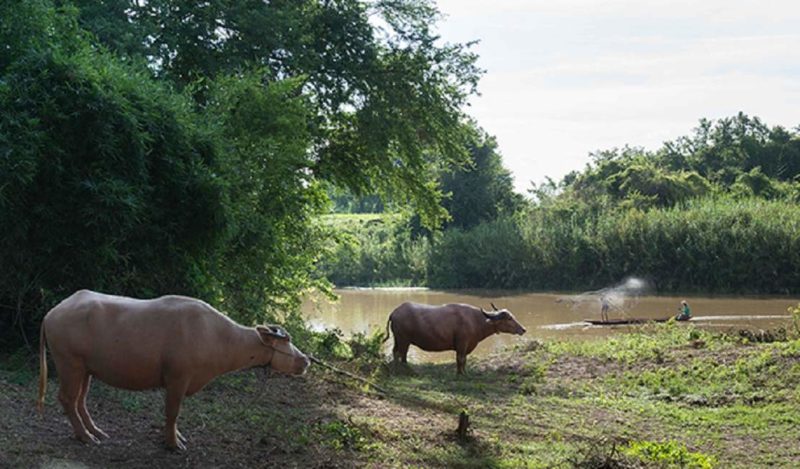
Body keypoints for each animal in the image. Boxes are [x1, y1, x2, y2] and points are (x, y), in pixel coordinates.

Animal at [39, 288, 310, 450]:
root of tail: (52, 312)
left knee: (80, 400)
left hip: (86, 369)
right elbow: (173, 412)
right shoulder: (178, 378)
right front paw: (173, 443)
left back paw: (95, 431)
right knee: (67, 399)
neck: (217, 336)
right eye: (286, 341)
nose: (306, 360)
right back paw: (86, 436)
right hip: (69, 363)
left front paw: (176, 438)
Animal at [386, 304, 524, 372]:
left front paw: (464, 372)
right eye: (509, 318)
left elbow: (464, 360)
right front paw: (460, 374)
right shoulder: (462, 344)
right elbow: (460, 359)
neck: (475, 321)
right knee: (402, 354)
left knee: (396, 352)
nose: (523, 329)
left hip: (398, 339)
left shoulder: (466, 346)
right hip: (403, 340)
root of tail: (394, 312)